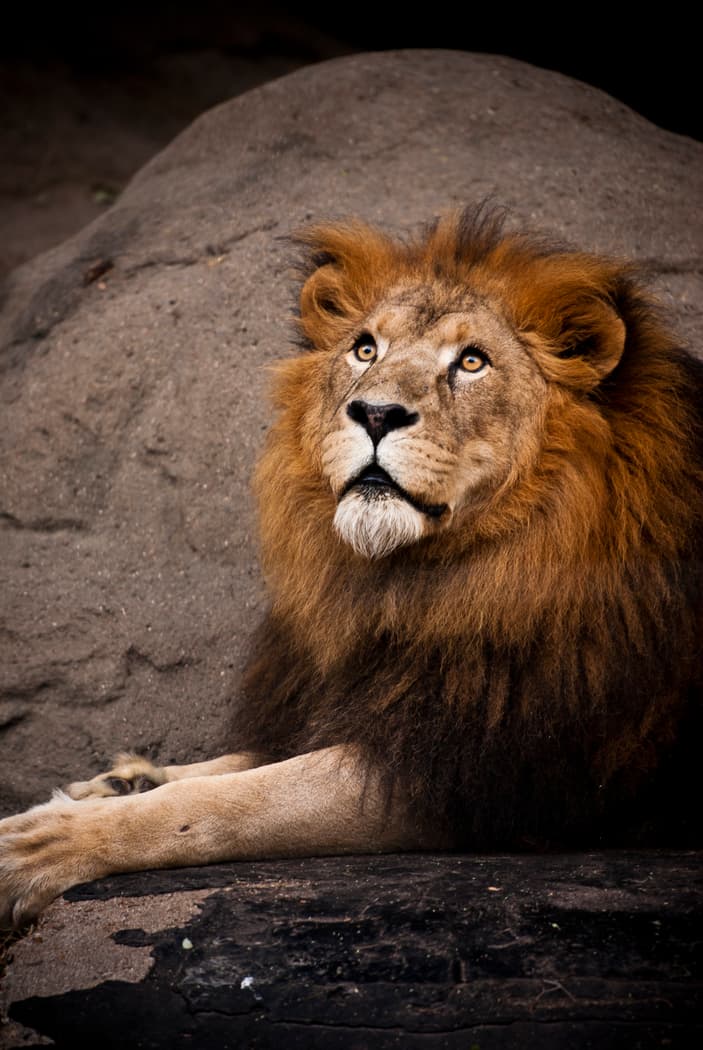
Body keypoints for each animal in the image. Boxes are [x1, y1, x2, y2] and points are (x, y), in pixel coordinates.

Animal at [1, 205, 701, 928]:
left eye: (471, 361)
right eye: (366, 349)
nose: (375, 412)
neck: (420, 584)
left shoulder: (467, 766)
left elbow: (230, 802)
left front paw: (47, 840)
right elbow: (243, 760)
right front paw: (120, 781)